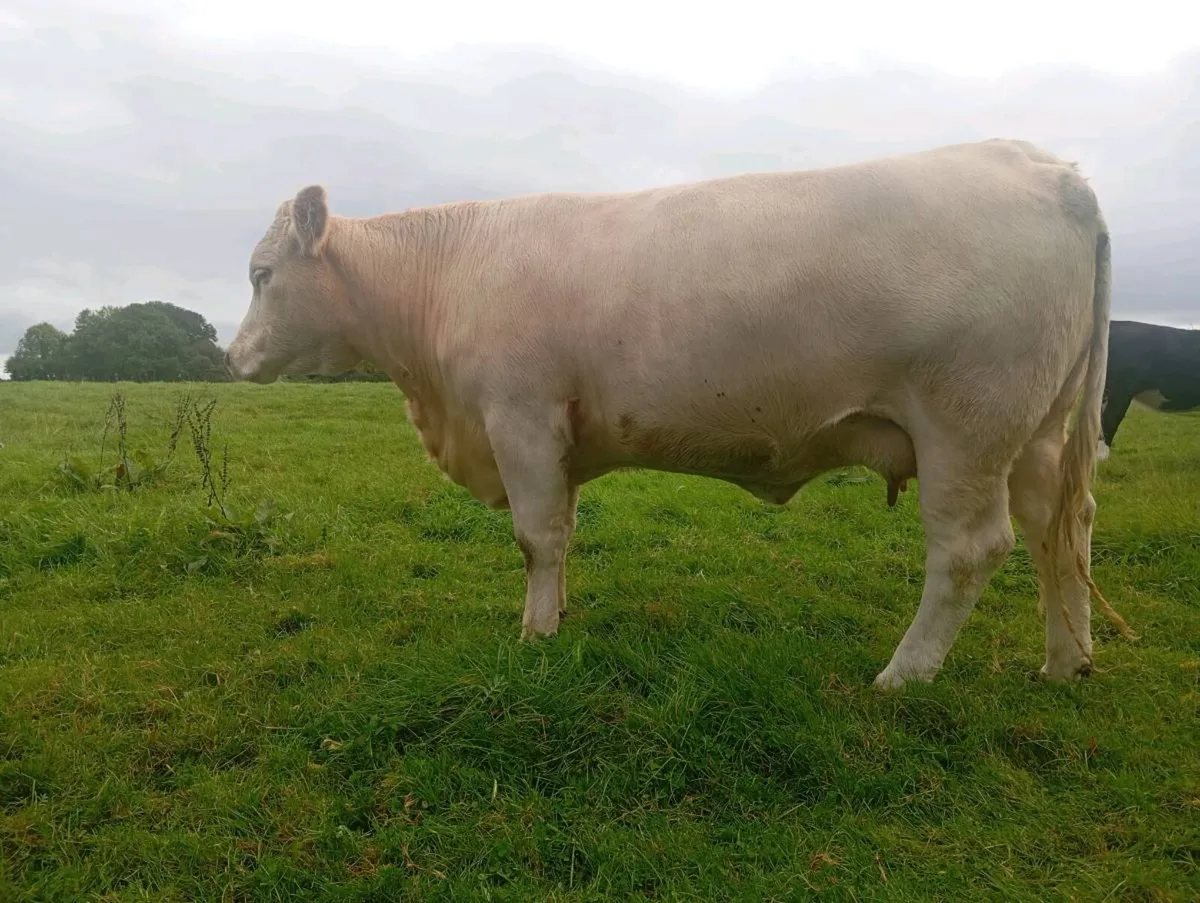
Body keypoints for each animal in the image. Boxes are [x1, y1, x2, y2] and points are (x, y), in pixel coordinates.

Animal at [226, 138, 1124, 689]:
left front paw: (534, 636)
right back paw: (1067, 661)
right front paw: (558, 613)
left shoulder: (519, 415)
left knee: (971, 550)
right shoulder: (559, 435)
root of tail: (1049, 168)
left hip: (966, 428)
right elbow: (562, 532)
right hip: (1033, 431)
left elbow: (534, 536)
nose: (232, 359)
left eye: (262, 273)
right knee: (1060, 526)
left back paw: (903, 674)